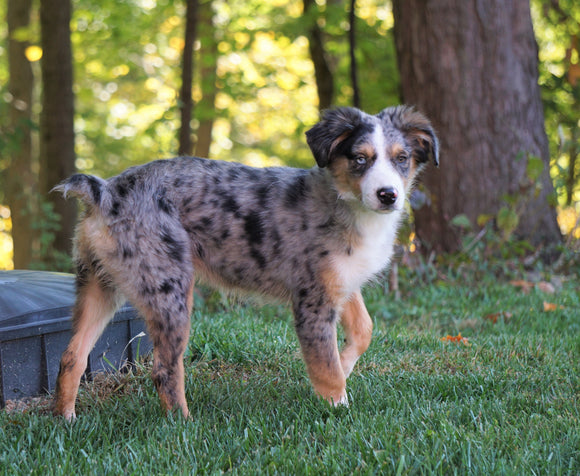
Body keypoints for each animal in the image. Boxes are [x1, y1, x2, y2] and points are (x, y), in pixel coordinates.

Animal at [52, 106, 438, 418]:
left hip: (100, 285)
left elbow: (362, 330)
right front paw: (337, 407)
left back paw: (66, 420)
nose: (388, 195)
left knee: (72, 356)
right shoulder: (312, 299)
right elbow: (325, 365)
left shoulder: (341, 283)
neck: (348, 204)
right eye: (360, 158)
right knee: (163, 367)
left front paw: (343, 367)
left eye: (402, 158)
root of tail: (106, 192)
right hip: (169, 288)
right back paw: (183, 425)